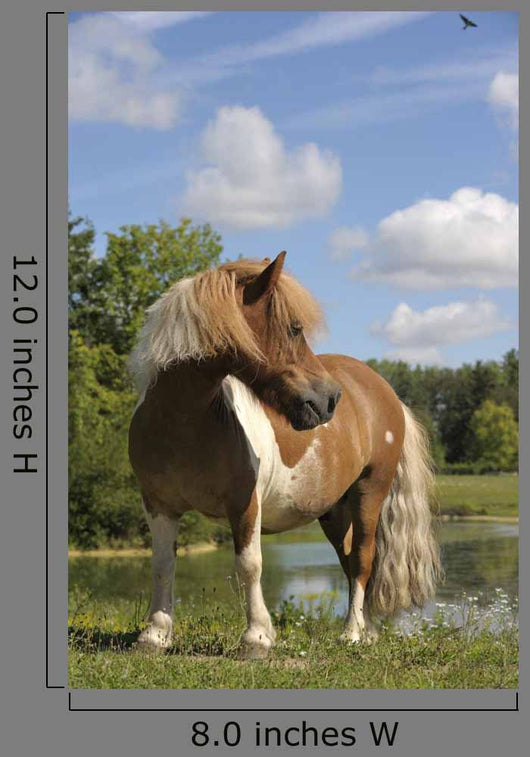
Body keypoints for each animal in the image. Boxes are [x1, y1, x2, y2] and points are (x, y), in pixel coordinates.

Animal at [128, 251, 441, 658]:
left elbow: (249, 565)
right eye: (294, 329)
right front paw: (154, 635)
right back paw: (367, 630)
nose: (330, 400)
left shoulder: (245, 504)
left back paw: (352, 633)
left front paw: (257, 638)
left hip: (370, 492)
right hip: (333, 511)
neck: (183, 423)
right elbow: (162, 564)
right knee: (348, 561)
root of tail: (385, 391)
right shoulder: (158, 504)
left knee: (362, 558)